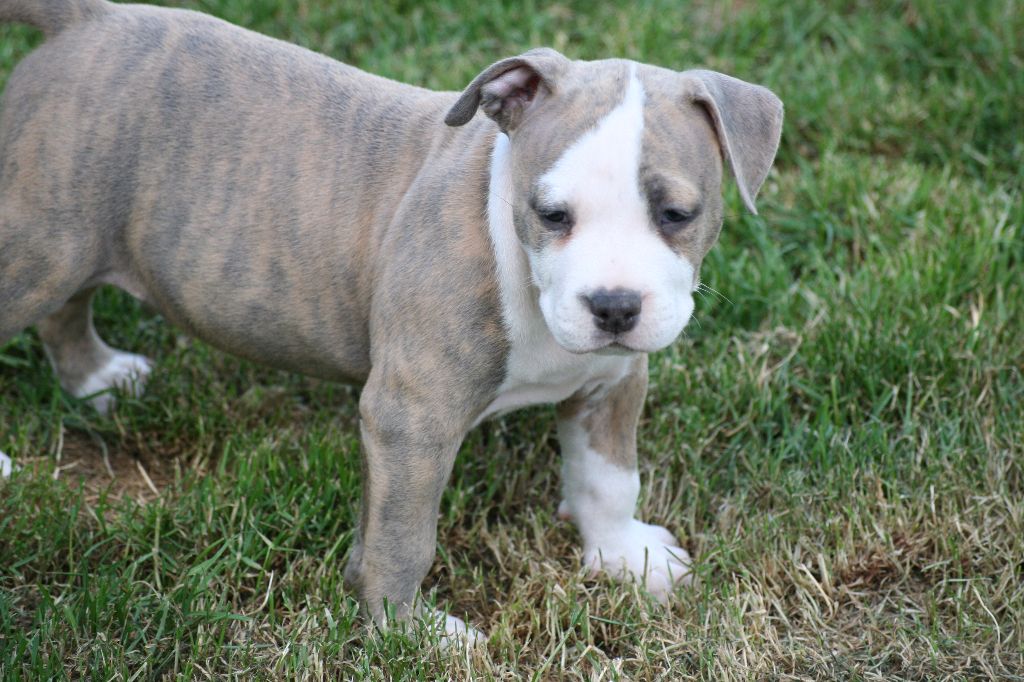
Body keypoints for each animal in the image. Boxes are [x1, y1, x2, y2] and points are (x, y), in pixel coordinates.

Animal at [0, 0, 782, 643]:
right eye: (552, 214)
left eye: (676, 214)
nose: (614, 305)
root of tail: (88, 19)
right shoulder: (412, 418)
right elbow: (404, 537)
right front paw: (406, 634)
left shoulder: (613, 380)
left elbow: (607, 477)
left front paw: (627, 556)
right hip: (39, 240)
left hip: (69, 242)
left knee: (68, 309)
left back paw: (98, 377)